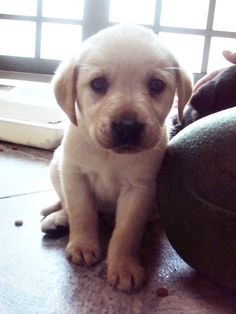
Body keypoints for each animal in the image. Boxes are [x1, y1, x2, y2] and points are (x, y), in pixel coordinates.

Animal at [41, 23, 192, 292]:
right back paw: (59, 218)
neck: (109, 156)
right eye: (98, 84)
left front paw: (123, 266)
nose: (128, 126)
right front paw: (83, 245)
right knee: (66, 203)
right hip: (56, 165)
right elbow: (81, 212)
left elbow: (127, 231)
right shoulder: (75, 174)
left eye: (156, 85)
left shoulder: (139, 188)